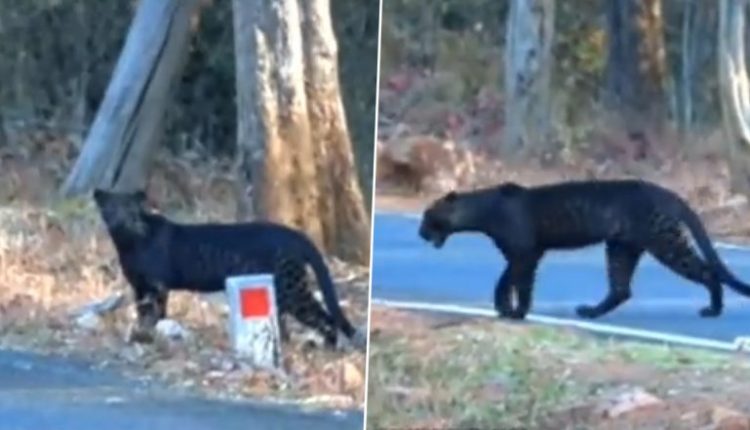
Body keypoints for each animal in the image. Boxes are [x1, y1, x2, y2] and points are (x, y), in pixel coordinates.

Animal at [93, 189, 364, 350]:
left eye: (129, 209)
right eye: (111, 208)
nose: (121, 221)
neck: (127, 243)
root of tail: (296, 235)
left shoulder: (156, 286)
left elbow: (155, 313)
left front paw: (149, 336)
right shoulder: (139, 287)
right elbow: (142, 312)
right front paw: (142, 335)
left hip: (292, 289)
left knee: (324, 317)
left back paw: (328, 348)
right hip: (282, 292)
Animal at [418, 178, 750, 321]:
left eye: (427, 216)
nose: (420, 233)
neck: (483, 211)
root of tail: (668, 193)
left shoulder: (525, 253)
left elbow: (515, 282)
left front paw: (514, 312)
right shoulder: (523, 255)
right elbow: (509, 280)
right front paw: (508, 309)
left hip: (665, 243)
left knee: (707, 272)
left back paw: (713, 310)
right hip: (621, 248)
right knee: (620, 289)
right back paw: (590, 312)